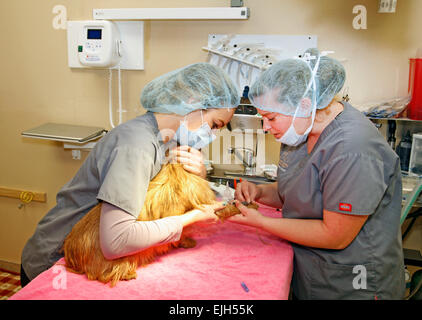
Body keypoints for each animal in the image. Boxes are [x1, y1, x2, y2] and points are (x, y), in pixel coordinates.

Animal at [61, 164, 258, 286]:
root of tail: (71, 253)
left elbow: (181, 233)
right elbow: (223, 209)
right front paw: (247, 206)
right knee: (103, 274)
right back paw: (128, 274)